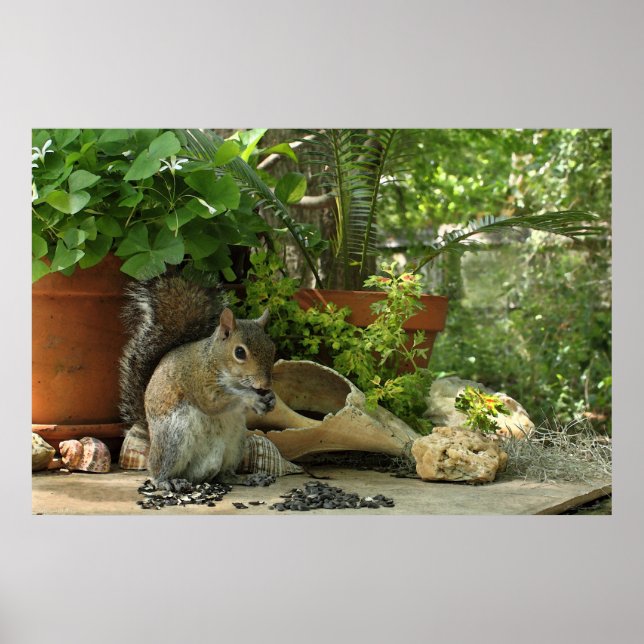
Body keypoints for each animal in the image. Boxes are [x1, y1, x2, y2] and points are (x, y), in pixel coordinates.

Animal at [118, 275, 276, 489]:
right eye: (239, 352)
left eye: (272, 347)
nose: (265, 384)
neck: (214, 360)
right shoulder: (198, 381)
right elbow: (214, 402)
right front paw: (251, 399)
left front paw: (271, 398)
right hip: (174, 440)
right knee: (158, 471)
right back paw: (166, 482)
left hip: (235, 443)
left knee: (225, 475)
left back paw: (249, 478)